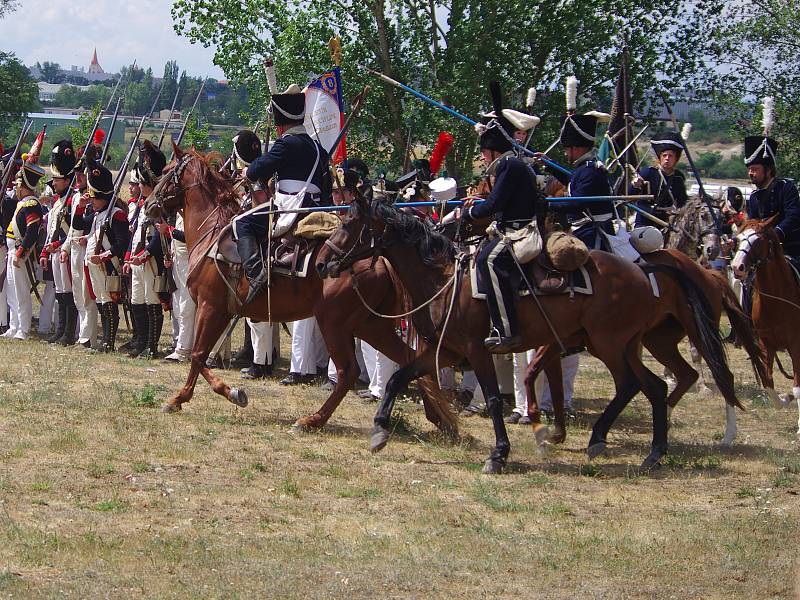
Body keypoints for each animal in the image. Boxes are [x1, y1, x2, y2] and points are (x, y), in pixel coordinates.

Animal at [144, 145, 456, 436]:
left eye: (165, 172)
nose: (148, 205)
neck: (210, 231)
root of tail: (380, 258)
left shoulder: (211, 307)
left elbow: (198, 355)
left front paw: (194, 397)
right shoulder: (221, 311)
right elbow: (201, 355)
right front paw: (210, 394)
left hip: (334, 323)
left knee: (348, 372)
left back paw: (312, 420)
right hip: (371, 325)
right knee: (409, 360)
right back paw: (441, 419)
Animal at [316, 195, 736, 472]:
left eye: (349, 224)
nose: (321, 263)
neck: (444, 280)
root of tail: (643, 270)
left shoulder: (478, 351)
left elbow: (493, 399)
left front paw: (499, 454)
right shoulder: (445, 351)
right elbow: (398, 378)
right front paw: (379, 432)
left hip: (611, 344)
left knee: (638, 384)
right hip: (628, 345)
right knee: (652, 386)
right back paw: (647, 449)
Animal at [736, 217, 796, 432]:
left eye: (758, 241)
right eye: (738, 239)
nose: (737, 267)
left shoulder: (796, 345)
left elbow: (797, 386)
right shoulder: (766, 344)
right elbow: (769, 384)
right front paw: (787, 399)